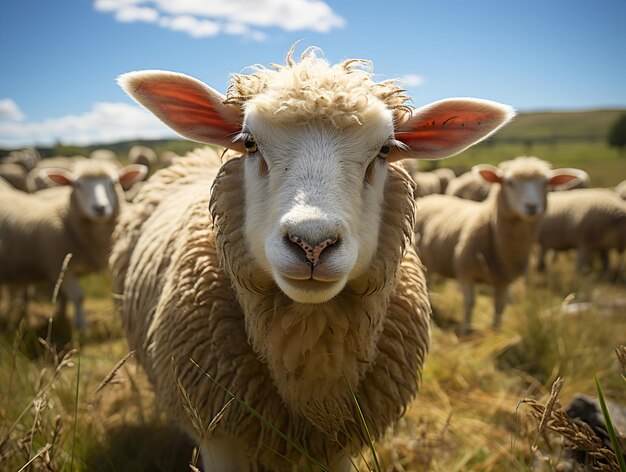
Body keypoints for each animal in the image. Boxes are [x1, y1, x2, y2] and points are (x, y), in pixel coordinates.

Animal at [0, 159, 145, 328]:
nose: (100, 208)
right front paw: (81, 325)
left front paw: (62, 317)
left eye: (114, 182)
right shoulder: (58, 264)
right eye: (77, 185)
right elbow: (78, 296)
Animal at [412, 157, 584, 334]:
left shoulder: (504, 280)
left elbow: (499, 306)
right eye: (509, 182)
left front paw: (495, 331)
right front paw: (466, 329)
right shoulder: (465, 271)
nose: (532, 206)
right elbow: (470, 302)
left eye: (545, 183)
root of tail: (431, 197)